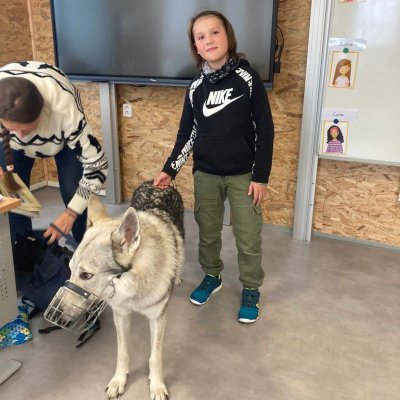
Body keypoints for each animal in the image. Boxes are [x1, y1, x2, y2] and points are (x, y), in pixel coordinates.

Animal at [58, 181, 184, 399]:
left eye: (86, 275)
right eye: (70, 269)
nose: (60, 313)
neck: (134, 290)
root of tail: (156, 182)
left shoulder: (158, 319)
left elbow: (154, 358)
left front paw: (157, 386)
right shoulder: (121, 314)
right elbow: (122, 353)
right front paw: (118, 381)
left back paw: (176, 276)